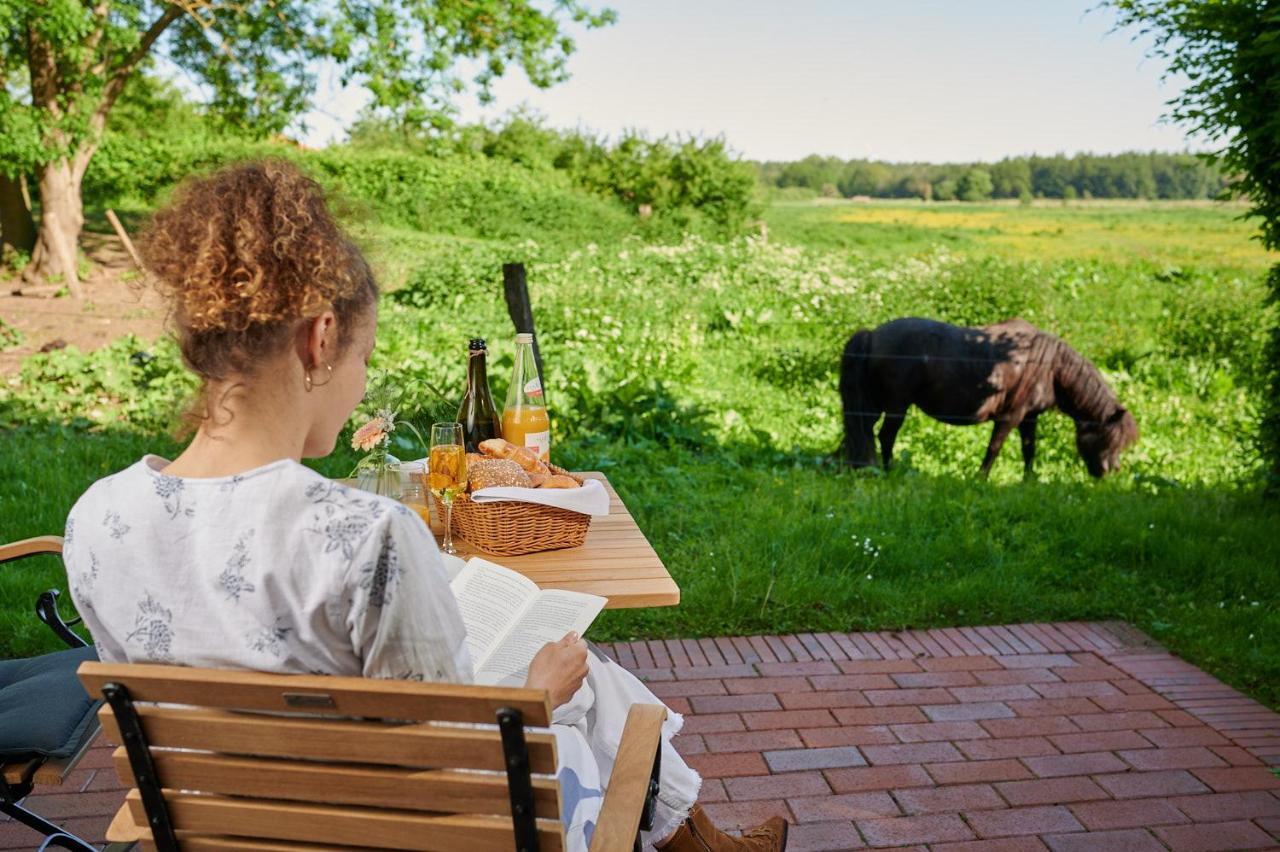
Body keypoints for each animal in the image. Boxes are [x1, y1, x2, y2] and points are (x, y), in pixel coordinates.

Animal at [839, 317, 1141, 478]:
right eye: (1109, 438)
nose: (1110, 471)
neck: (1049, 367)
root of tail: (872, 335)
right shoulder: (1010, 417)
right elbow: (994, 448)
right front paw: (981, 478)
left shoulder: (1029, 418)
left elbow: (1029, 449)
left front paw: (1028, 480)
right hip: (896, 407)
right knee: (885, 436)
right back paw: (889, 471)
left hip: (875, 405)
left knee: (862, 432)